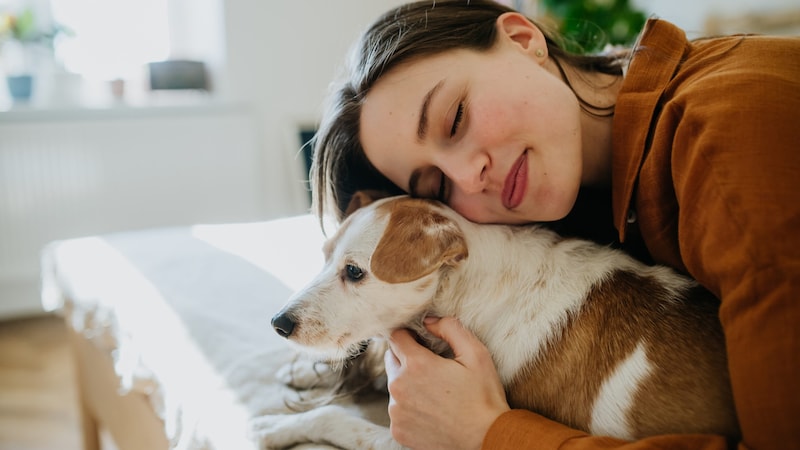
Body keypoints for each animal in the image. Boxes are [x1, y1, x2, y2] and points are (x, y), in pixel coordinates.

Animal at [260, 194, 740, 450]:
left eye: (355, 272)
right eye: (323, 257)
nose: (279, 324)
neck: (468, 287)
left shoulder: (418, 438)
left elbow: (337, 419)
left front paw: (275, 428)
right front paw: (300, 373)